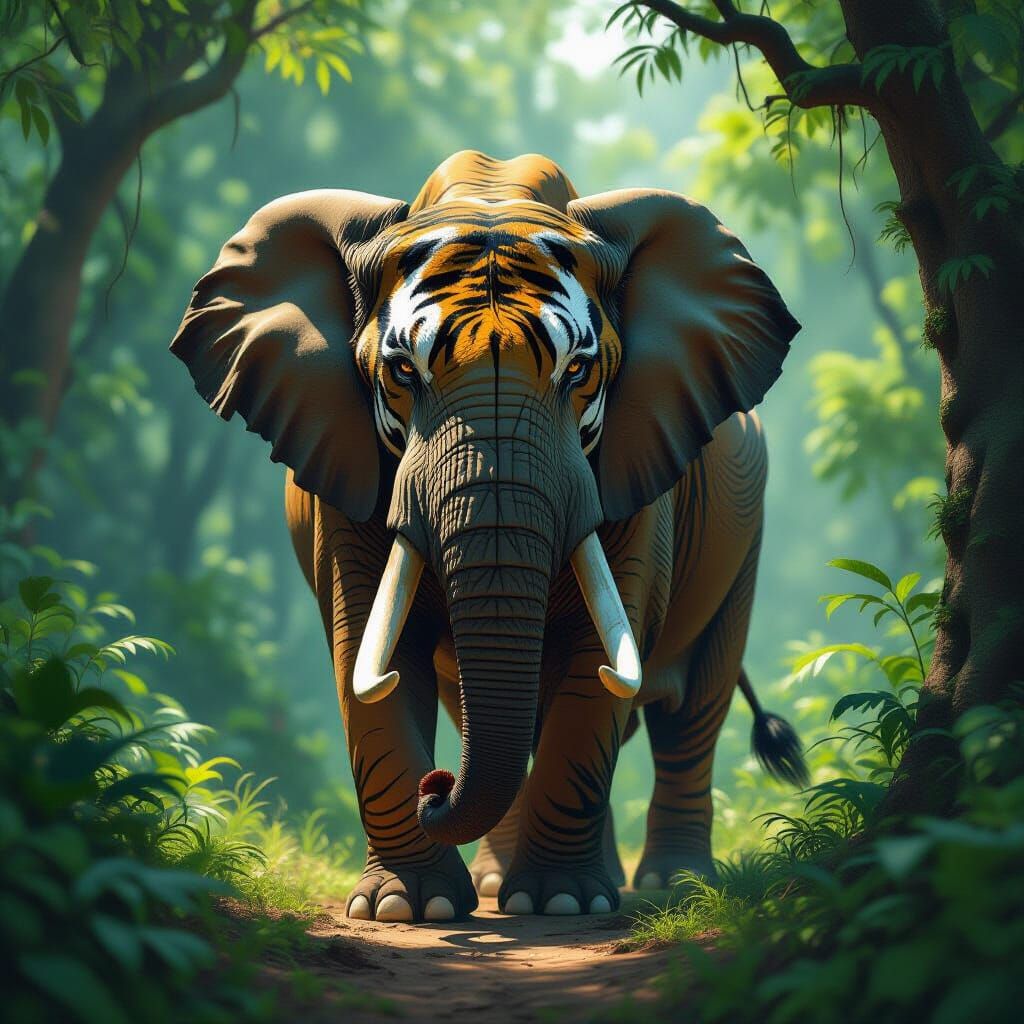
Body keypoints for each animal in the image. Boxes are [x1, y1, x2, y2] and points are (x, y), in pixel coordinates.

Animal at [170, 150, 806, 925]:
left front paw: (559, 903)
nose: (437, 785)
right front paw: (408, 910)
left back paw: (664, 886)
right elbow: (373, 654)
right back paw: (510, 887)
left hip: (744, 537)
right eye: (402, 371)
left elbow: (596, 665)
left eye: (578, 371)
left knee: (689, 711)